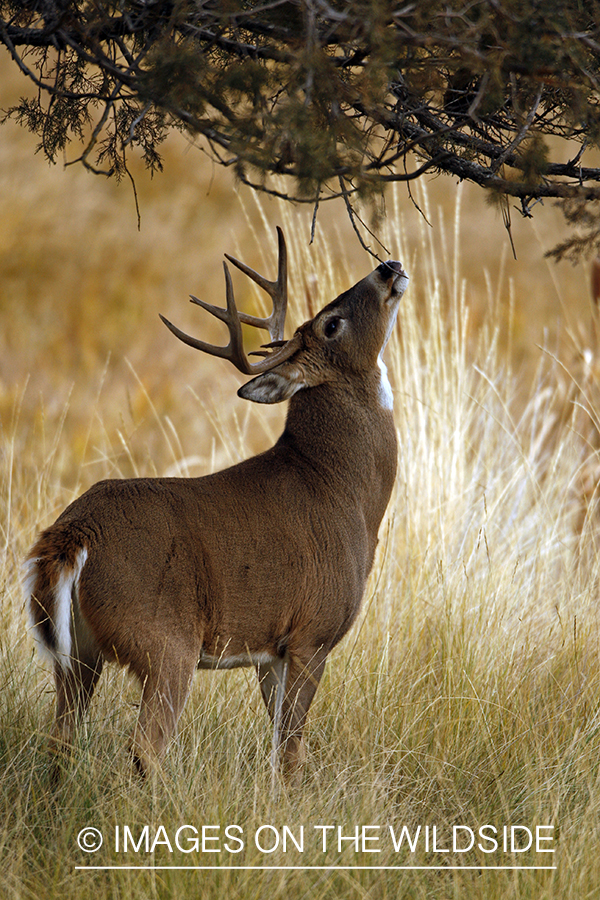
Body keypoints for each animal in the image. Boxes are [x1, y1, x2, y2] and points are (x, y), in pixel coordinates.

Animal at [22, 229, 408, 784]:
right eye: (332, 323)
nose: (388, 266)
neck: (341, 488)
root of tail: (74, 534)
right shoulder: (312, 631)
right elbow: (293, 752)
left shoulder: (272, 650)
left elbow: (280, 746)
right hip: (164, 641)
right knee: (145, 749)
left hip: (78, 655)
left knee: (60, 744)